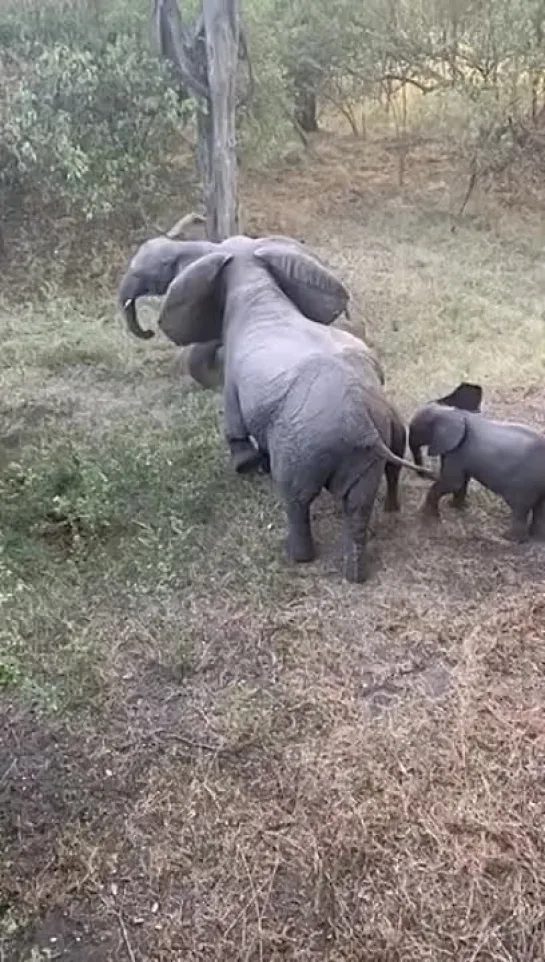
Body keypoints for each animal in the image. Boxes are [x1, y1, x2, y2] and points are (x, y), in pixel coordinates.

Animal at [117, 234, 432, 576]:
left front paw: (245, 468)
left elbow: (232, 415)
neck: (248, 269)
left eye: (160, 268)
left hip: (301, 445)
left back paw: (297, 556)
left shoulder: (233, 374)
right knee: (358, 505)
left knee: (296, 498)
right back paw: (354, 572)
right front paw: (258, 465)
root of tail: (362, 423)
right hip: (360, 453)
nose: (147, 331)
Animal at [408, 400, 545, 540]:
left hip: (524, 484)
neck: (450, 411)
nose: (429, 474)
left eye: (415, 429)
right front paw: (454, 507)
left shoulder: (458, 451)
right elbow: (461, 482)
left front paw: (431, 518)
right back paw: (536, 538)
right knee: (539, 508)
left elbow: (453, 483)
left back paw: (509, 538)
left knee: (520, 509)